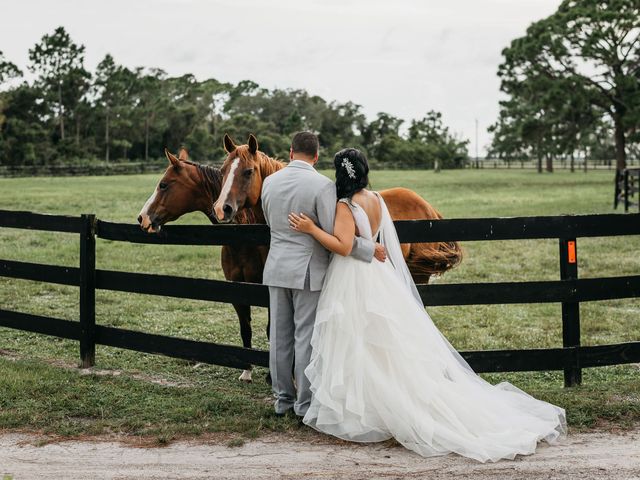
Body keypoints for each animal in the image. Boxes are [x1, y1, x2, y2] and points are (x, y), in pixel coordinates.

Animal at [138, 146, 268, 382]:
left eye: (164, 184)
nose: (141, 218)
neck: (246, 237)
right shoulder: (238, 291)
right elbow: (245, 329)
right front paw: (247, 371)